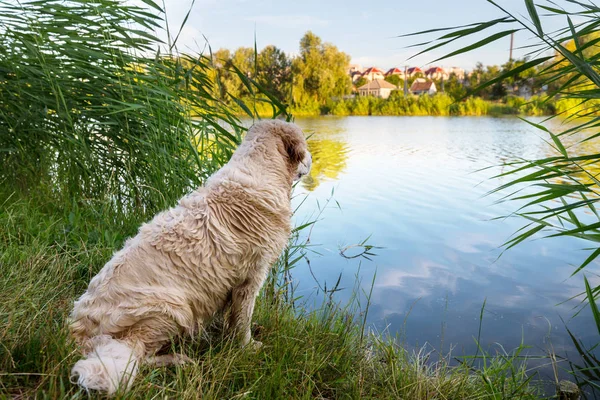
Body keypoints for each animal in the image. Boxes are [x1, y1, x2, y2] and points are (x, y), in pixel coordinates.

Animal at [69, 120, 312, 396]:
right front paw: (248, 347)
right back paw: (177, 360)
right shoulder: (251, 278)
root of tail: (80, 331)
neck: (262, 168)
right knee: (137, 354)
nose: (312, 159)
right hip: (171, 308)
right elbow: (243, 320)